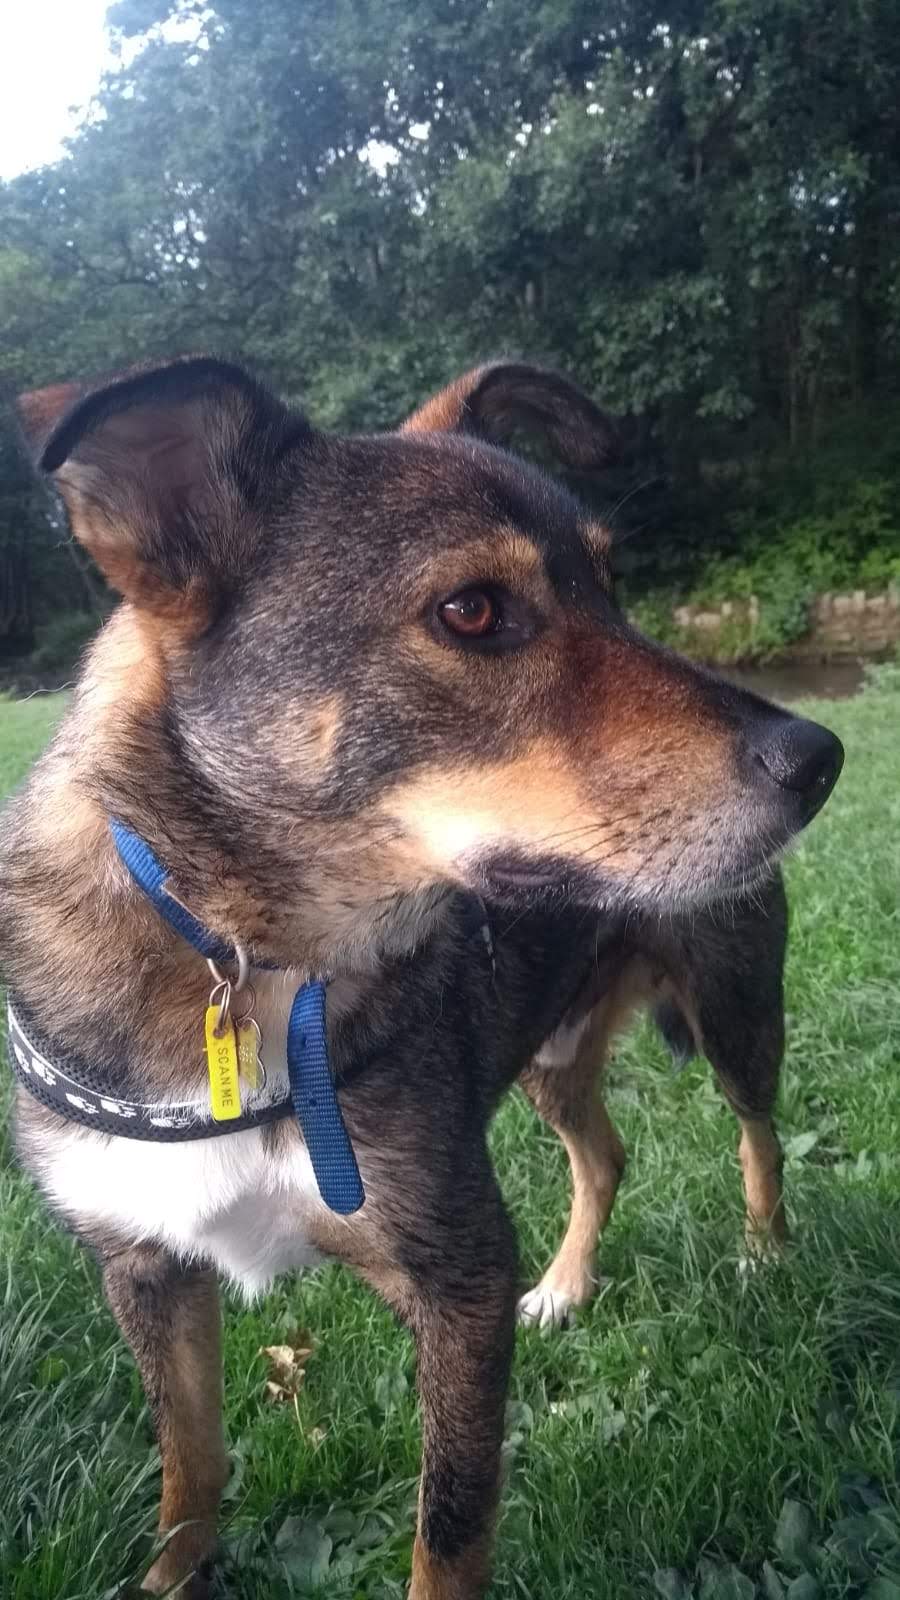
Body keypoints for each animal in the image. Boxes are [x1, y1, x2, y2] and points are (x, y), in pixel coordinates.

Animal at [1, 356, 839, 1593]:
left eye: (613, 586)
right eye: (473, 610)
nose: (821, 758)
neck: (243, 951)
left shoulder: (458, 1274)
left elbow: (448, 1526)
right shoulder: (143, 1266)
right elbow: (189, 1467)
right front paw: (171, 1574)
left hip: (736, 1009)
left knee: (757, 1134)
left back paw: (765, 1254)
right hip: (548, 1056)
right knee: (604, 1152)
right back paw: (569, 1285)